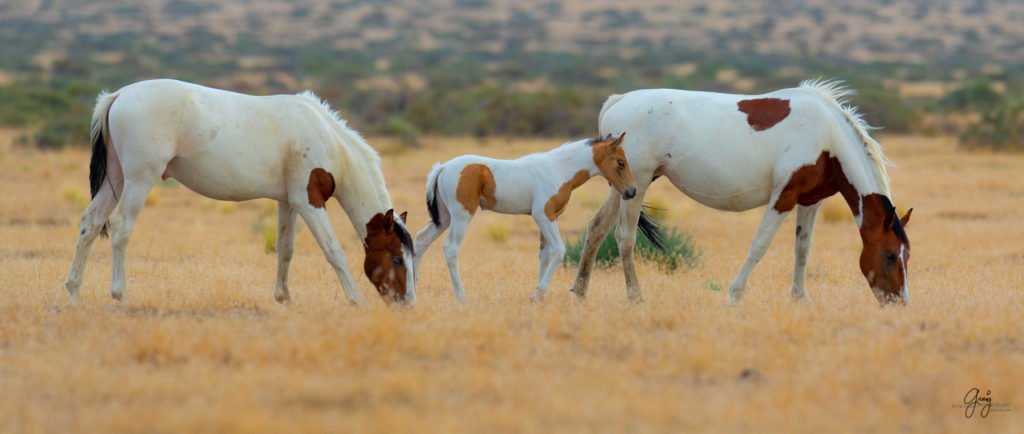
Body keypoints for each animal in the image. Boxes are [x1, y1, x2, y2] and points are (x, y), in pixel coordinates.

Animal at [62, 79, 415, 307]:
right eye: (397, 258)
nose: (406, 303)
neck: (326, 138)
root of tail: (118, 95)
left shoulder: (288, 202)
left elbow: (285, 250)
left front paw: (283, 298)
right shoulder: (309, 201)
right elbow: (333, 251)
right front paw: (356, 300)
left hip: (116, 179)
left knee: (90, 222)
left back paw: (73, 292)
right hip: (139, 179)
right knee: (121, 227)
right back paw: (119, 294)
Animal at [411, 134, 634, 300]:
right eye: (621, 163)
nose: (631, 191)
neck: (559, 170)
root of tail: (443, 167)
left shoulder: (550, 218)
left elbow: (544, 255)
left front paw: (537, 295)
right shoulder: (543, 216)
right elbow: (559, 250)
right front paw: (540, 292)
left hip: (445, 218)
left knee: (421, 241)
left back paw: (413, 290)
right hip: (461, 216)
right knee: (451, 249)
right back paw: (461, 296)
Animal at [573, 79, 917, 307]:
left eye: (907, 255)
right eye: (889, 255)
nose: (899, 302)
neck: (827, 137)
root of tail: (618, 100)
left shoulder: (810, 201)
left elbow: (802, 249)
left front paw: (800, 299)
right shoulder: (783, 197)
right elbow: (759, 246)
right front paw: (735, 294)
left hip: (625, 186)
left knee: (596, 228)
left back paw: (579, 292)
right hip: (640, 184)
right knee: (625, 237)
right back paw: (635, 296)